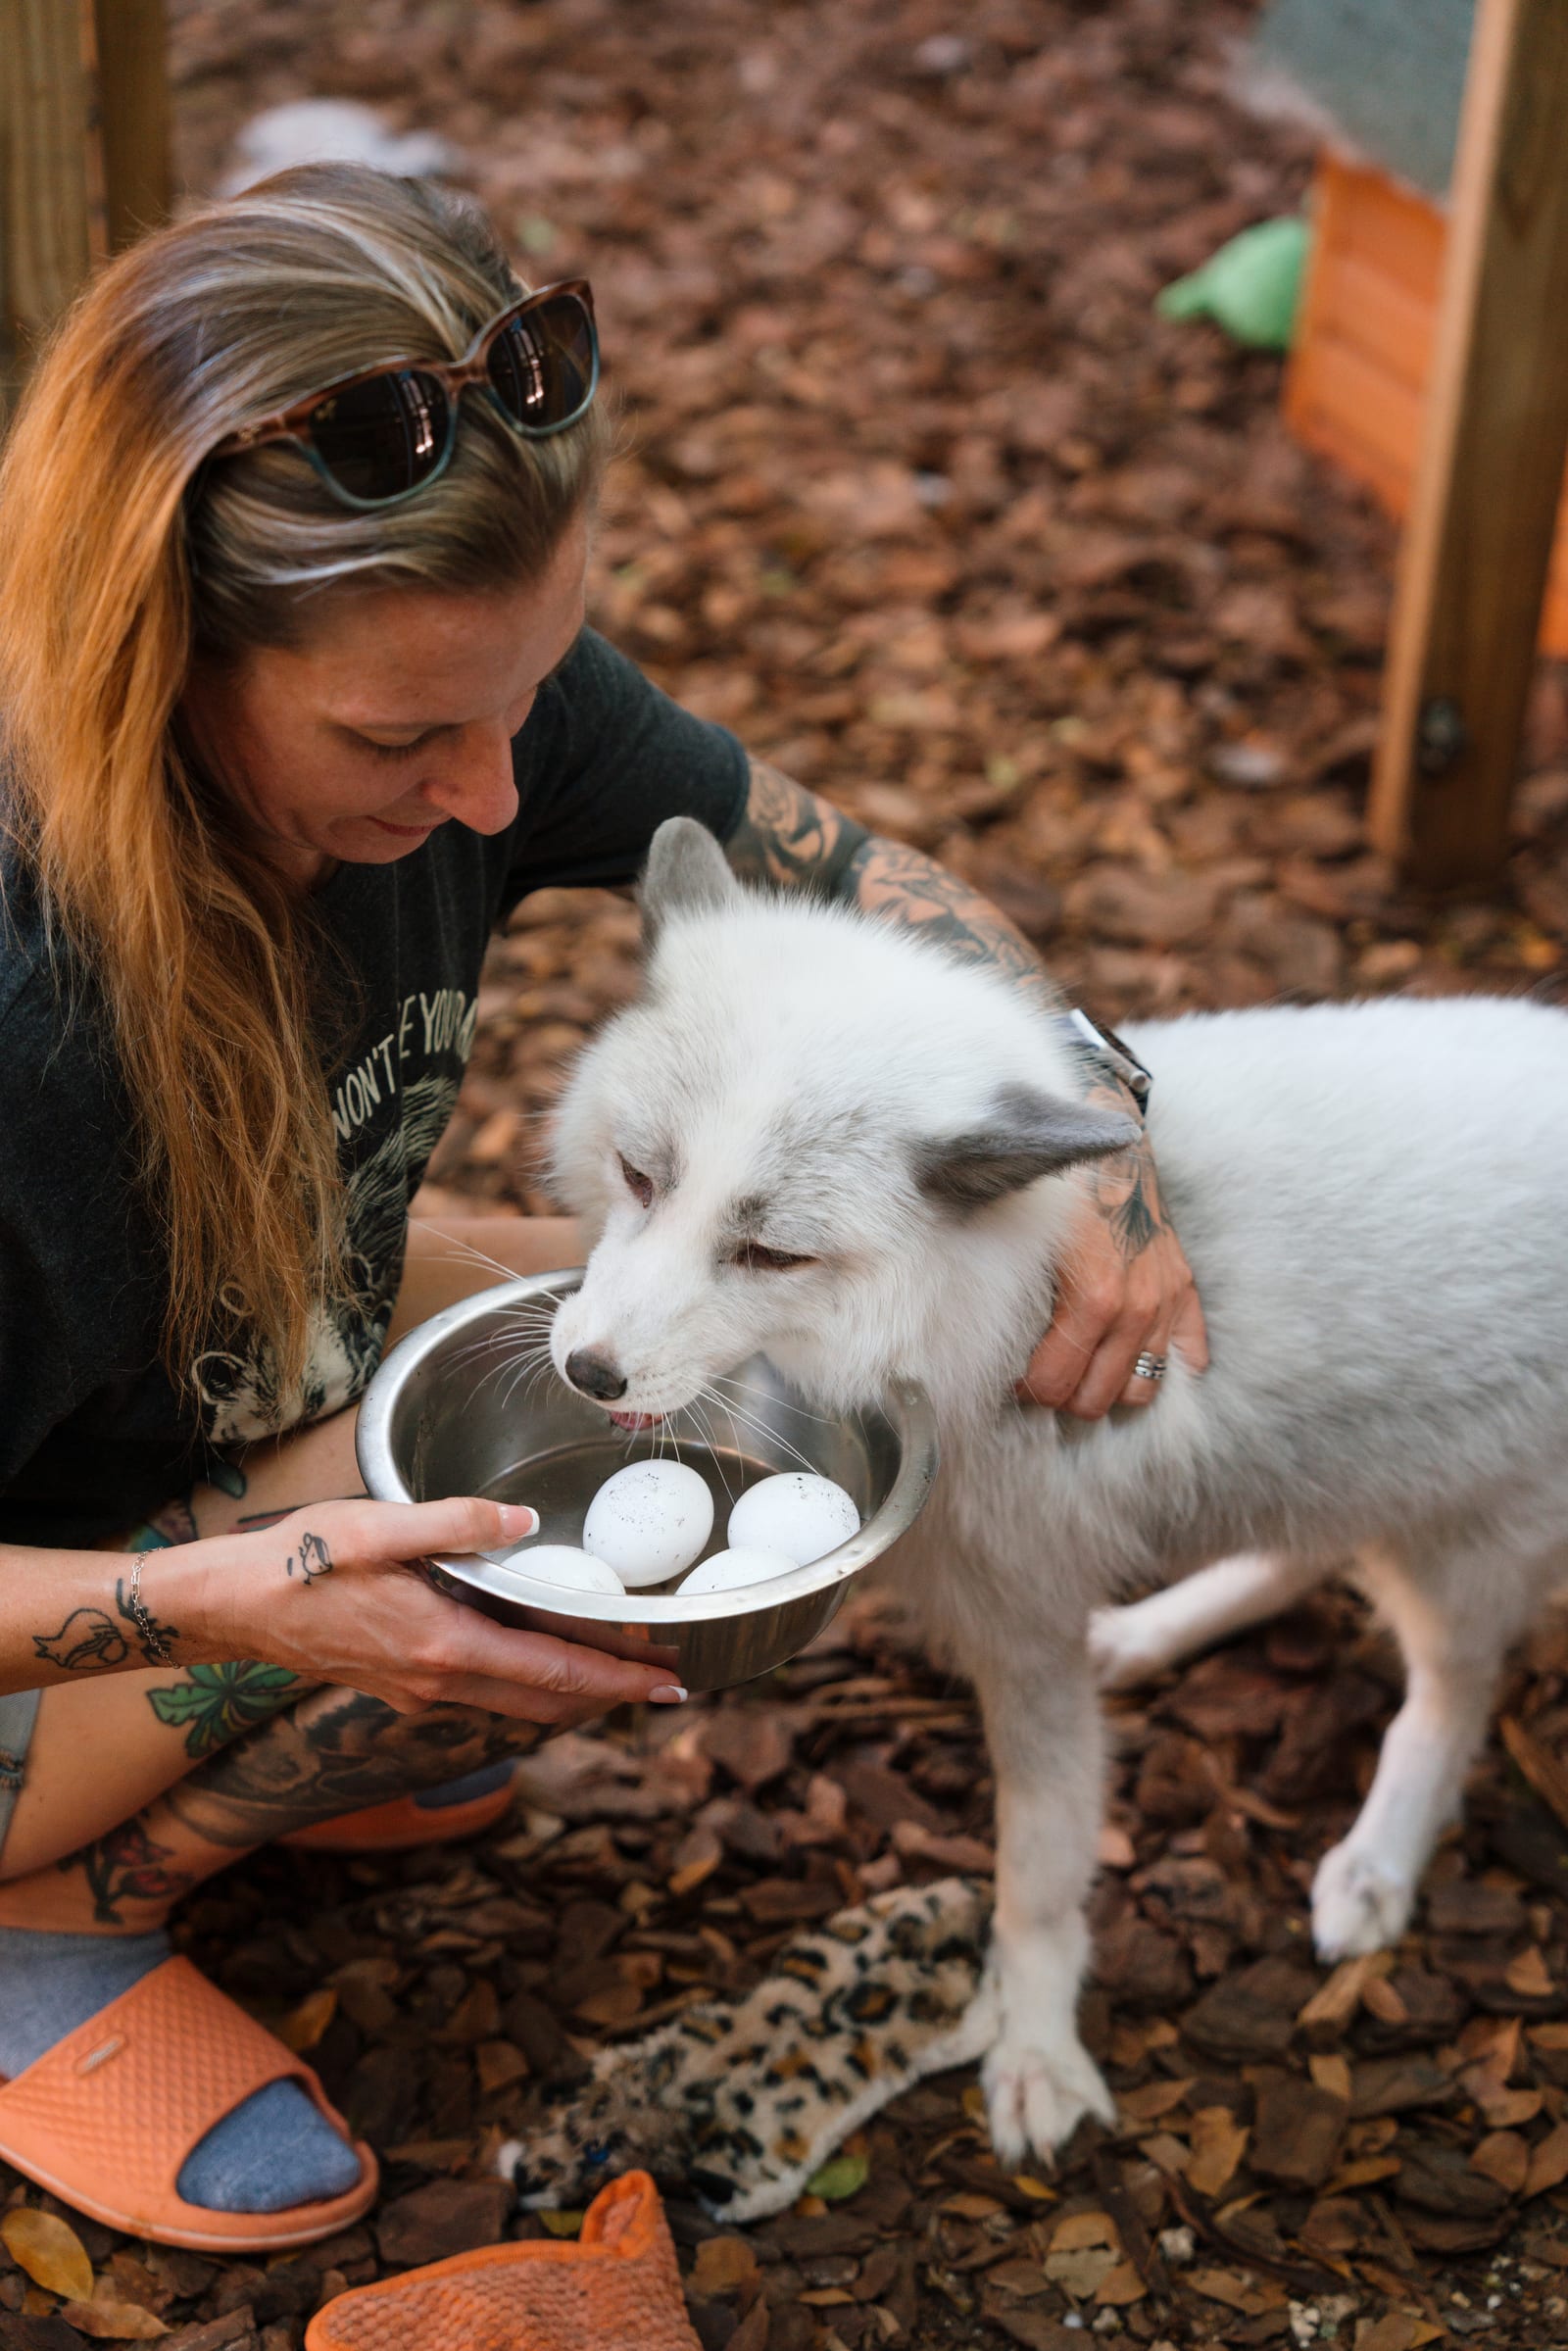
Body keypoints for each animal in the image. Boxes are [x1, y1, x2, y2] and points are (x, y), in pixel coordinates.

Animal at [547, 814, 1568, 2164]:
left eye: (768, 1252)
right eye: (638, 1175)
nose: (585, 1369)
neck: (1004, 1306)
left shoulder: (1021, 1624)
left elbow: (1036, 1870)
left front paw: (1033, 2047)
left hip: (1463, 1545)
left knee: (1446, 1698)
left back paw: (1375, 1865)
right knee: (1305, 1551)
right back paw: (1151, 1632)